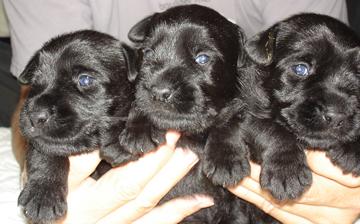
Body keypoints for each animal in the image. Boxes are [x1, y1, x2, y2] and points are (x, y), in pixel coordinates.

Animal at [17, 30, 135, 223]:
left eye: (85, 80)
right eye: (34, 80)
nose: (35, 116)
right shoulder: (41, 143)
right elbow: (45, 153)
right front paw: (43, 194)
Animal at [119, 4, 278, 223]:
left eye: (202, 58)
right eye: (148, 53)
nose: (159, 92)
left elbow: (232, 117)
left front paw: (225, 158)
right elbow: (139, 101)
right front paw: (139, 130)